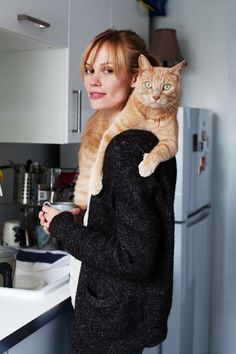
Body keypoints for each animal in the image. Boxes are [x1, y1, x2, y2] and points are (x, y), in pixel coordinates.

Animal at [74, 55, 184, 209]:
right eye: (148, 85)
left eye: (166, 87)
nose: (156, 97)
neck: (150, 115)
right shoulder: (111, 133)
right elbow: (100, 159)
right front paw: (96, 184)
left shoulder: (171, 142)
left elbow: (159, 151)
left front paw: (146, 165)